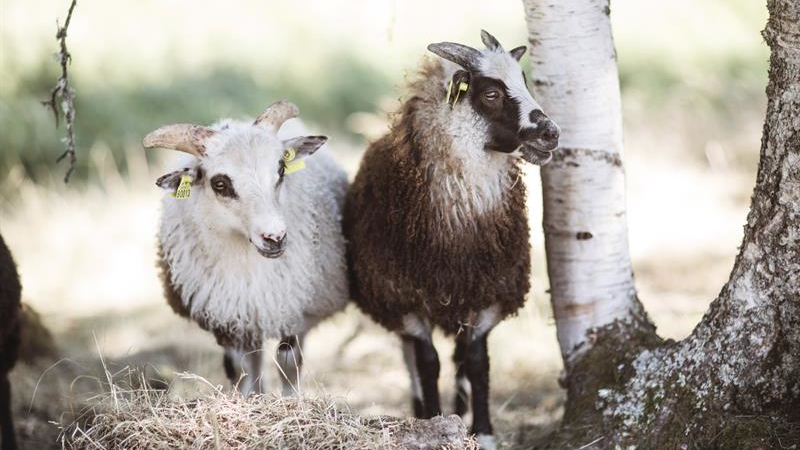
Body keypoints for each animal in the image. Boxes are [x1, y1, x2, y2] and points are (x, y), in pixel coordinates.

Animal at [145, 101, 350, 394]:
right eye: (220, 183)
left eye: (281, 169)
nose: (275, 237)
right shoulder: (227, 318)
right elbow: (238, 370)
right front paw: (246, 400)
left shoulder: (294, 309)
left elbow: (288, 364)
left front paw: (291, 401)